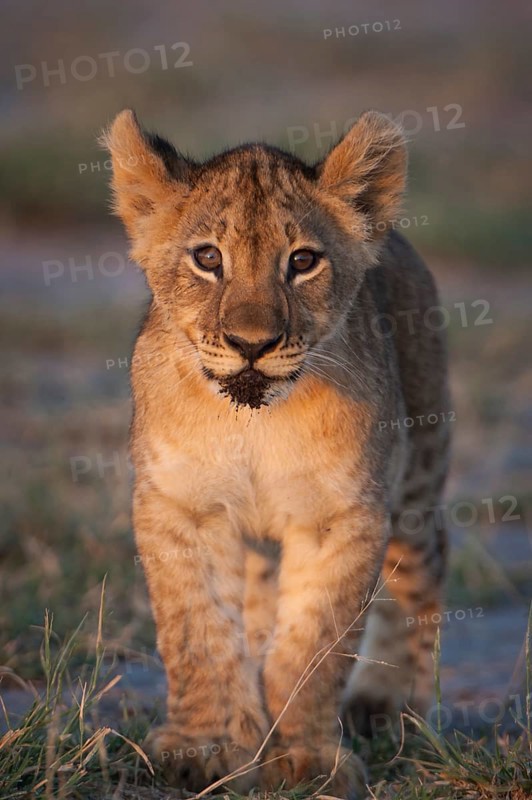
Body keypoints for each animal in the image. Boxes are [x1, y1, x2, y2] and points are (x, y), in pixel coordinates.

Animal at [103, 109, 450, 798]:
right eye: (208, 258)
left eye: (304, 261)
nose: (251, 344)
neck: (254, 422)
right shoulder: (181, 508)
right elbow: (198, 634)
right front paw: (205, 749)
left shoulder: (342, 518)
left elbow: (313, 646)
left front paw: (306, 757)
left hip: (416, 481)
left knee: (424, 567)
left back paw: (387, 706)